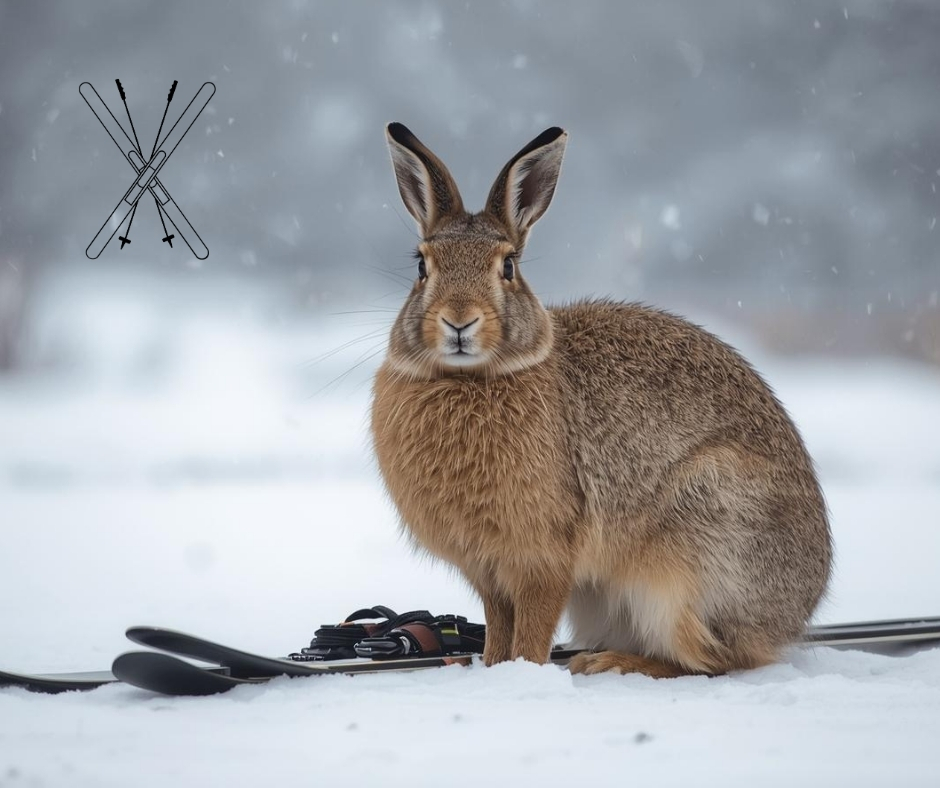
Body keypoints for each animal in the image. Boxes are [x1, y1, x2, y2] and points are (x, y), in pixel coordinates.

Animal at [371, 122, 832, 677]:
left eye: (508, 267)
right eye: (422, 266)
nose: (459, 320)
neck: (471, 379)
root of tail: (792, 618)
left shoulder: (544, 557)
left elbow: (532, 627)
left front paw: (522, 672)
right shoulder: (488, 572)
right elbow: (499, 625)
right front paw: (490, 669)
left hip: (691, 556)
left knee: (713, 660)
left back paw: (609, 663)